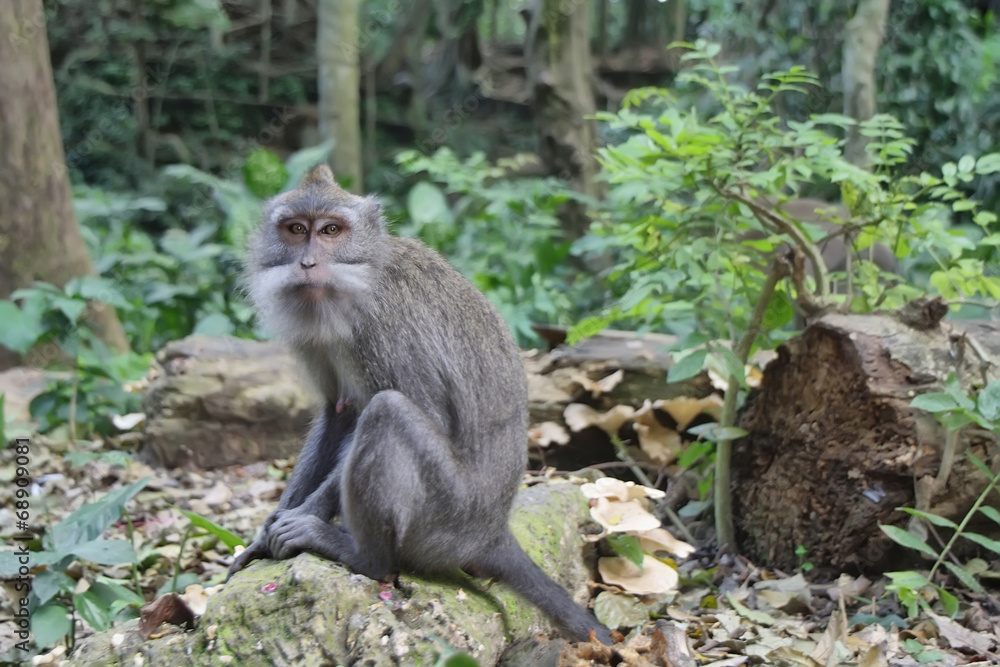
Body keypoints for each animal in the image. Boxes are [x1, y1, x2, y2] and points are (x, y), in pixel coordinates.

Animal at [228, 164, 612, 644]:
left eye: (332, 230)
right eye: (296, 229)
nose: (308, 264)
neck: (359, 276)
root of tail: (491, 533)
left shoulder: (382, 326)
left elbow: (416, 410)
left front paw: (302, 516)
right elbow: (338, 412)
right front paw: (264, 532)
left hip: (446, 518)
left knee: (388, 412)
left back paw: (362, 556)